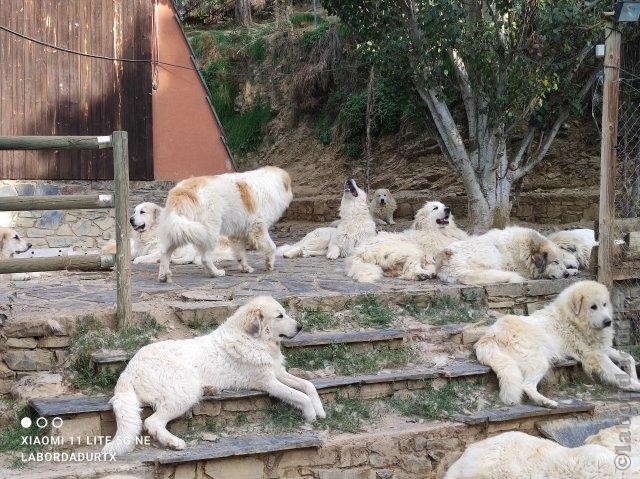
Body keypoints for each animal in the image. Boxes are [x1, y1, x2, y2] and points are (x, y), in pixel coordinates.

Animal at [104, 296, 328, 458]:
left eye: (285, 313)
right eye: (280, 316)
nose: (300, 327)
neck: (254, 340)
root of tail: (129, 369)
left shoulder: (278, 373)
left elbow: (308, 386)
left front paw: (320, 410)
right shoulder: (268, 382)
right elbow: (299, 395)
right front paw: (310, 415)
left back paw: (211, 389)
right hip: (185, 390)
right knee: (152, 422)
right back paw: (174, 442)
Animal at [158, 167, 292, 284]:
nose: (291, 194)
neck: (271, 184)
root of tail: (183, 190)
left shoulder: (237, 235)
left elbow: (240, 254)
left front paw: (245, 268)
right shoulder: (258, 227)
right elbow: (272, 246)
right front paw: (269, 264)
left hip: (180, 229)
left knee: (164, 252)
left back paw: (163, 275)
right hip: (208, 231)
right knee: (205, 258)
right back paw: (216, 273)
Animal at [476, 282, 640, 408]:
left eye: (604, 304)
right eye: (593, 307)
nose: (608, 322)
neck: (572, 319)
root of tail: (490, 336)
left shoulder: (600, 349)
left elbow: (629, 357)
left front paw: (633, 375)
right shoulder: (595, 356)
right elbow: (619, 373)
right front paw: (635, 384)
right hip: (540, 360)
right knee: (526, 385)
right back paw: (545, 402)